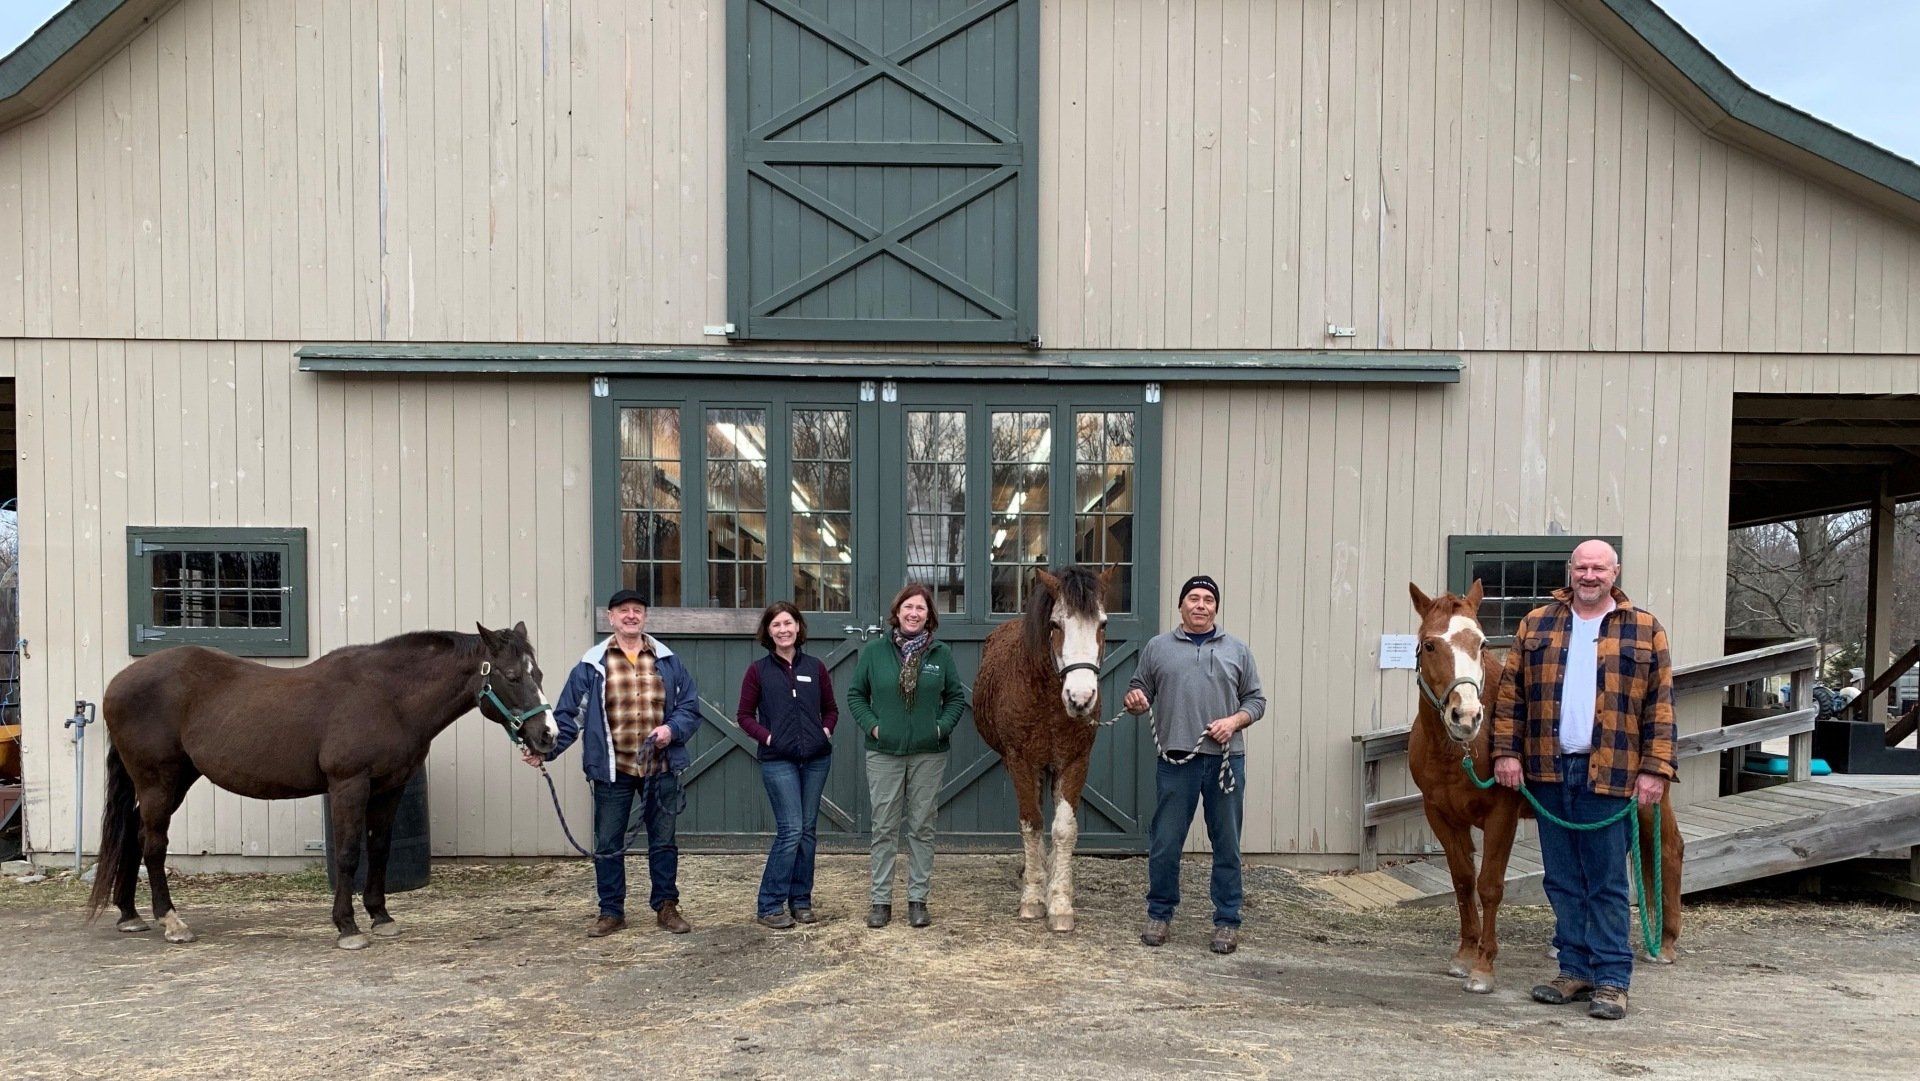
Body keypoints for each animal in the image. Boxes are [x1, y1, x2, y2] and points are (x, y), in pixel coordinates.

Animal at [90, 625, 556, 948]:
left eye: (539, 672)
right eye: (511, 675)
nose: (547, 736)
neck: (387, 696)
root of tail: (117, 682)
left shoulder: (390, 789)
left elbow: (380, 850)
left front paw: (381, 917)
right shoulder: (349, 785)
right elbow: (350, 853)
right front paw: (347, 927)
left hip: (175, 779)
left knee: (133, 836)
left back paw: (130, 915)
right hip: (159, 781)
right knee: (153, 844)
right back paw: (171, 921)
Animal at [967, 568, 1121, 929]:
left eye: (1103, 624)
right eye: (1055, 624)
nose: (1080, 698)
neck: (1048, 700)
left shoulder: (1074, 762)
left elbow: (1063, 829)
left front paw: (1060, 901)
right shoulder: (1022, 762)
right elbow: (1032, 824)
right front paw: (1034, 898)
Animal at [1413, 583, 1681, 998]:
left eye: (1482, 643)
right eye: (1429, 645)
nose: (1466, 716)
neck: (1460, 751)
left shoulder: (1501, 815)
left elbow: (1489, 886)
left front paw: (1483, 968)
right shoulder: (1440, 815)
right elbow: (1462, 881)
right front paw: (1464, 955)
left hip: (1648, 798)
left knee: (1669, 849)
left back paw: (1665, 944)